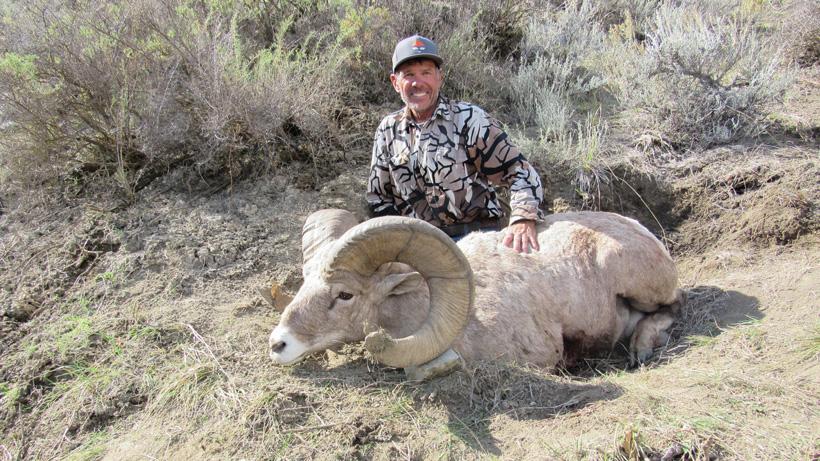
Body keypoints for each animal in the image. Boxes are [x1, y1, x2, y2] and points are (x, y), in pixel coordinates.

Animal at [268, 209, 682, 377]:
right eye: (304, 282)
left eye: (345, 295)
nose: (278, 344)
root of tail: (640, 229)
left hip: (642, 286)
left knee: (673, 306)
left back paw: (642, 349)